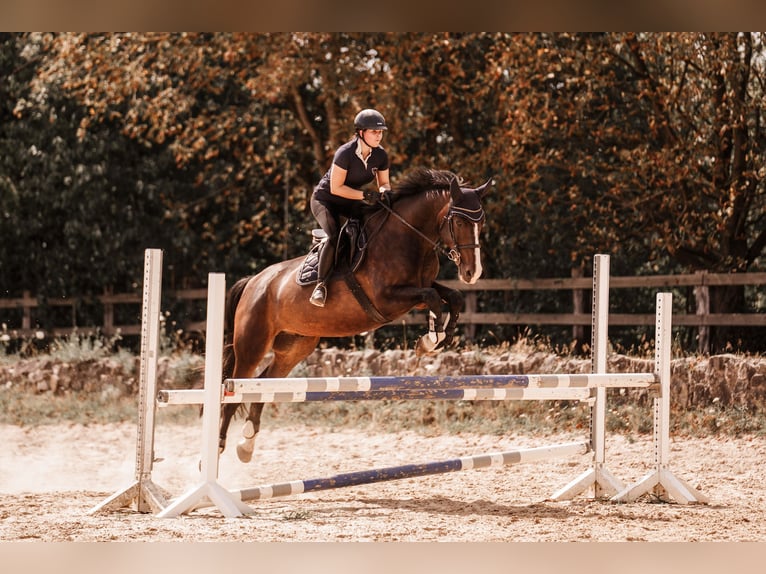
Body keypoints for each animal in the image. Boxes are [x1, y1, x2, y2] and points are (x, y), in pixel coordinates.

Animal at [219, 167, 491, 462]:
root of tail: (254, 281)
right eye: (460, 221)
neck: (408, 237)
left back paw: (246, 443)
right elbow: (432, 298)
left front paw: (440, 336)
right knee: (233, 391)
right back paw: (218, 448)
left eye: (481, 222)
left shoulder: (420, 289)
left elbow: (453, 297)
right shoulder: (388, 299)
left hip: (294, 346)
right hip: (252, 345)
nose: (472, 273)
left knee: (264, 383)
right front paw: (430, 340)